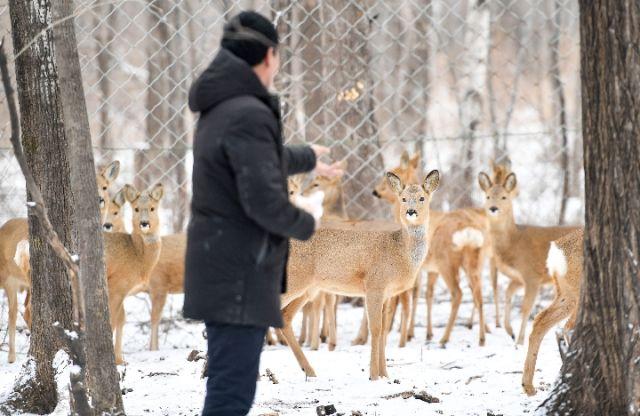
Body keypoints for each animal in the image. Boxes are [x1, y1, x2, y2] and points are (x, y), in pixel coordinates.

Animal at [104, 184, 164, 362]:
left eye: (152, 208)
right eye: (136, 208)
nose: (144, 223)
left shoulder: (124, 291)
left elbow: (122, 319)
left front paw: (120, 359)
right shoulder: (116, 285)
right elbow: (112, 321)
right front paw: (116, 361)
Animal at [278, 170, 438, 380]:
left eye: (422, 198)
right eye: (403, 198)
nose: (411, 211)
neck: (399, 250)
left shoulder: (387, 294)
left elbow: (384, 330)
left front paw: (385, 375)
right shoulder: (374, 286)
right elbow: (376, 329)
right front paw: (374, 376)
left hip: (308, 289)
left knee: (285, 317)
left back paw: (310, 371)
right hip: (294, 281)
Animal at [478, 169, 576, 344]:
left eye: (504, 197)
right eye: (487, 196)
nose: (493, 208)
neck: (513, 241)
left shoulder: (532, 275)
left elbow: (526, 308)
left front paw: (519, 341)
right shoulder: (518, 278)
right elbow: (508, 295)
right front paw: (510, 331)